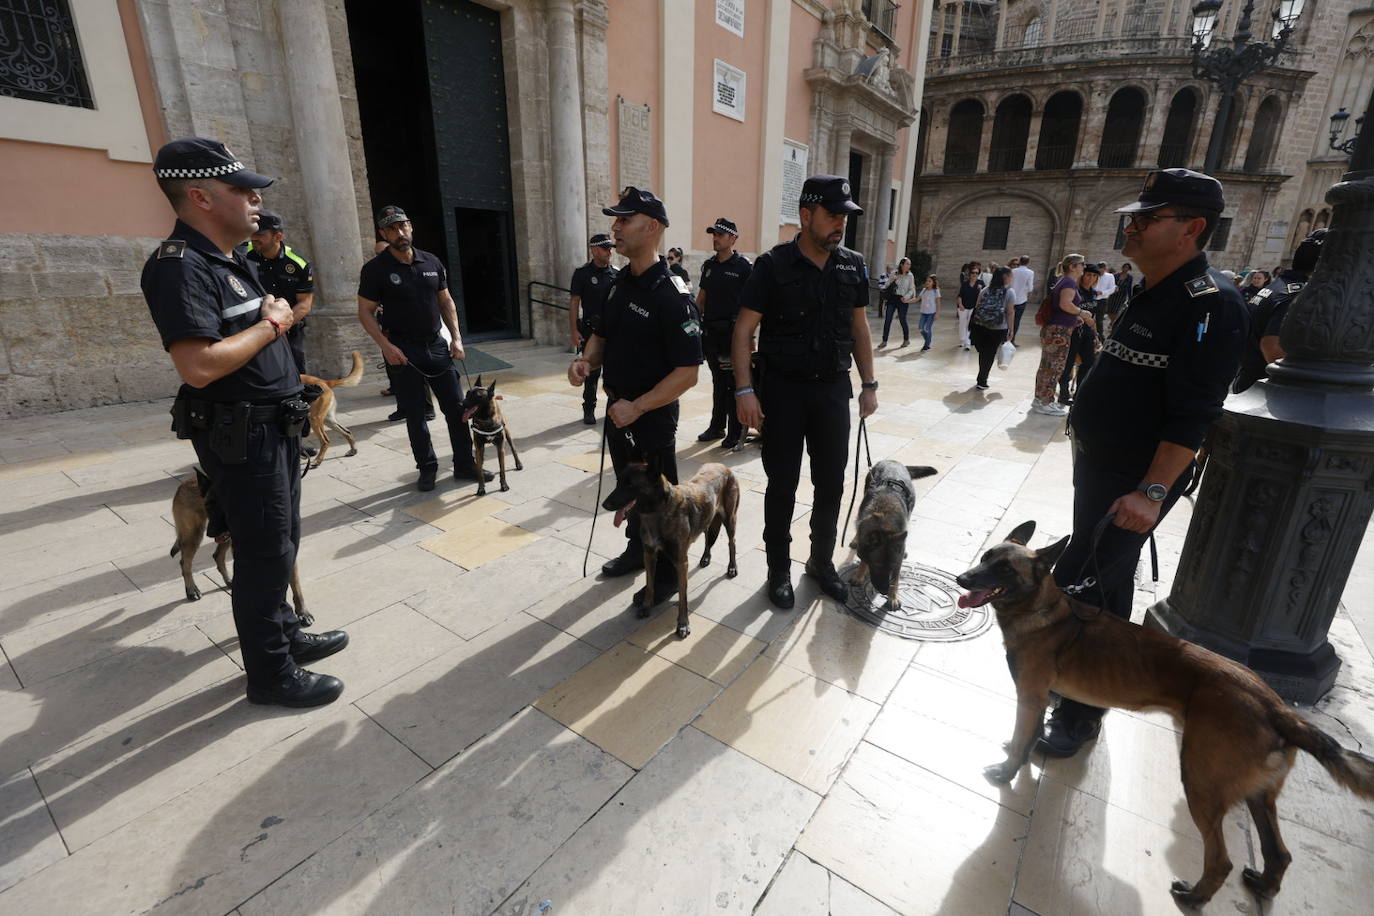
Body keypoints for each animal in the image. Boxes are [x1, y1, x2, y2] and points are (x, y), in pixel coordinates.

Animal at [169, 469, 311, 626]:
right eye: (208, 506)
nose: (210, 533)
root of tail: (183, 484)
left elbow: (294, 584)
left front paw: (302, 612)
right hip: (194, 536)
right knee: (185, 563)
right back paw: (191, 590)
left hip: (224, 537)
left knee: (217, 556)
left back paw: (229, 581)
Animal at [596, 455, 736, 642]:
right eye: (618, 482)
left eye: (630, 484)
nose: (604, 504)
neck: (657, 512)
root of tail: (723, 466)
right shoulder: (649, 554)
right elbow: (649, 584)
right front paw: (646, 606)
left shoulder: (681, 562)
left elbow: (683, 597)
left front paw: (683, 624)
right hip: (708, 518)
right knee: (708, 538)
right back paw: (705, 557)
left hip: (730, 519)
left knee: (731, 543)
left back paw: (732, 567)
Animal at [851, 458, 939, 609]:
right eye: (878, 566)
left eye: (891, 566)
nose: (884, 591)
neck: (884, 523)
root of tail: (893, 461)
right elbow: (864, 559)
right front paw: (859, 575)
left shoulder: (897, 562)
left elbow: (896, 578)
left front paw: (893, 597)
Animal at [961, 521, 1374, 911]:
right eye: (985, 557)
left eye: (1004, 569)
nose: (963, 579)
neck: (1042, 609)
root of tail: (1276, 706)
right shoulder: (1040, 699)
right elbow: (1027, 737)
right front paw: (1021, 759)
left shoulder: (1030, 697)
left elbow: (1021, 740)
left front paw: (1006, 772)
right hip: (1259, 796)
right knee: (1280, 853)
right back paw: (1263, 885)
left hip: (1201, 782)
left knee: (1221, 859)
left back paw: (1194, 897)